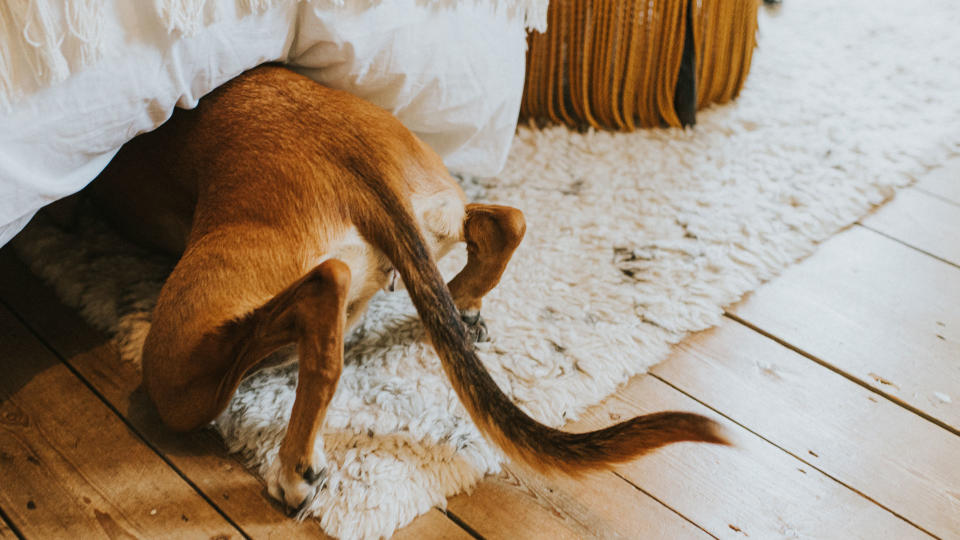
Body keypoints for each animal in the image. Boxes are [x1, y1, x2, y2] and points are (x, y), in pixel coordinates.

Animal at [86, 65, 728, 512]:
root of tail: (357, 164)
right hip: (439, 205)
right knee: (505, 225)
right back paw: (462, 305)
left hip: (175, 372)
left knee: (324, 292)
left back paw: (294, 468)